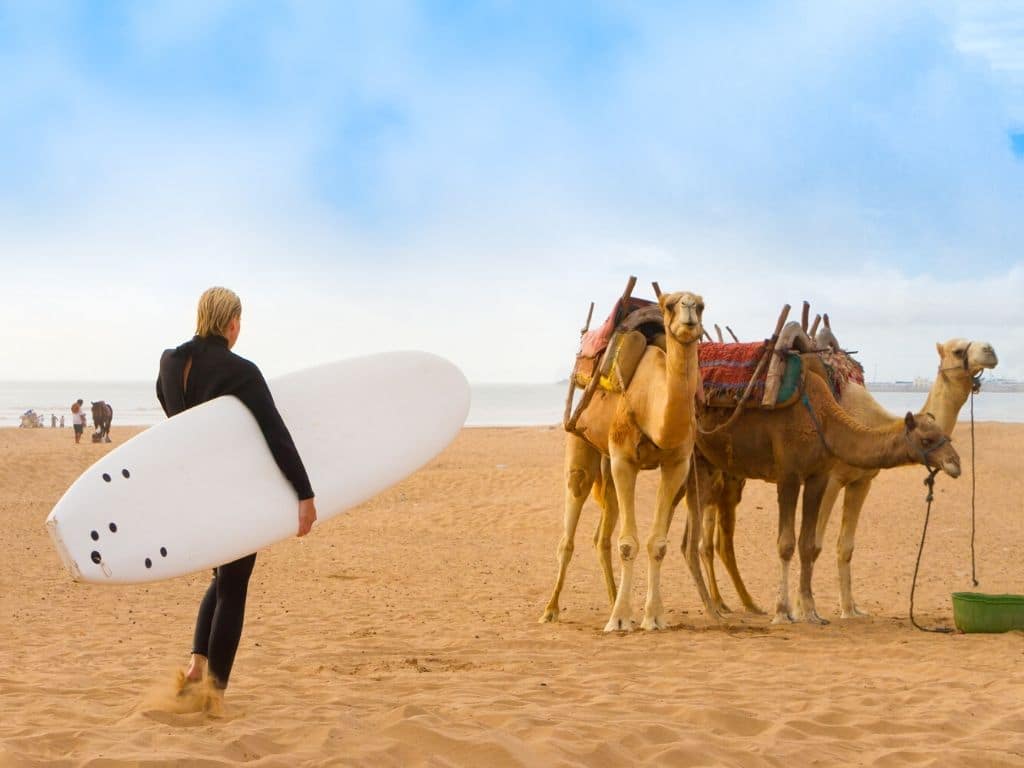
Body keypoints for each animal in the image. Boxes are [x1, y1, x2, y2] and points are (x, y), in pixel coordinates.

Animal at [540, 290, 716, 634]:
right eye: (669, 305)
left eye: (702, 305)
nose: (689, 311)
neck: (652, 405)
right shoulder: (623, 460)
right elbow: (627, 543)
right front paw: (620, 620)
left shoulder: (677, 464)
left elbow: (657, 543)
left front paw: (653, 617)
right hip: (581, 443)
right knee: (570, 528)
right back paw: (551, 611)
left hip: (608, 467)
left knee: (601, 536)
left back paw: (613, 602)